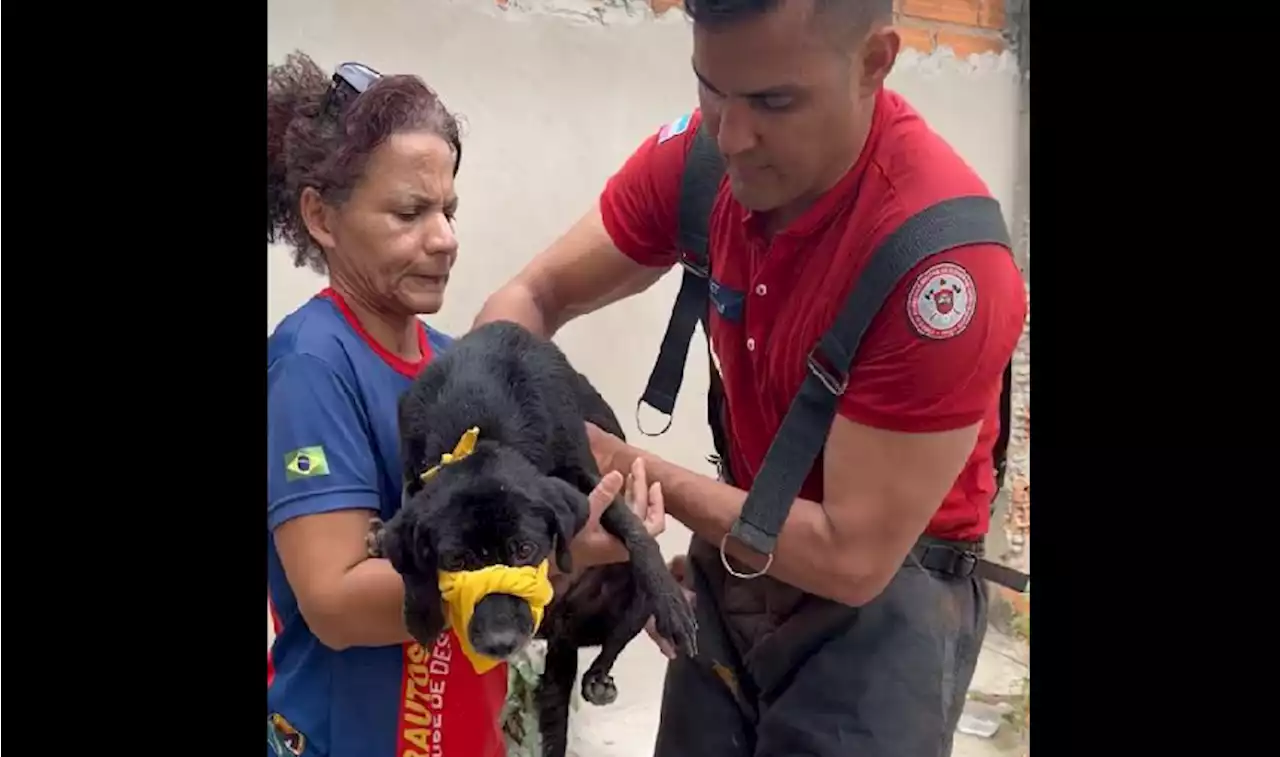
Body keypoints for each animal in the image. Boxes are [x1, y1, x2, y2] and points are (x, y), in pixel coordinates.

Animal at [366, 318, 696, 757]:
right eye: (454, 561)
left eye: (525, 549)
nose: (501, 643)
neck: (480, 415)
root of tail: (566, 632)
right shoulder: (414, 469)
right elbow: (406, 531)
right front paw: (419, 604)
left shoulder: (587, 471)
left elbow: (631, 526)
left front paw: (669, 598)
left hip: (628, 605)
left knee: (614, 641)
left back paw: (600, 675)